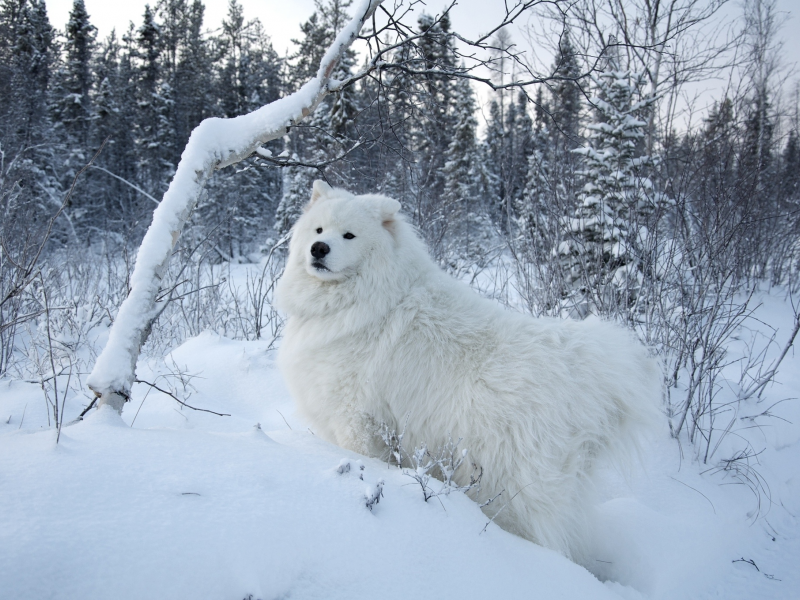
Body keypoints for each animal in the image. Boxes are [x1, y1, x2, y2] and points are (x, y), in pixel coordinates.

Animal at [276, 180, 664, 560]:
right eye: (319, 229)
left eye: (349, 235)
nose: (318, 249)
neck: (365, 298)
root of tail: (582, 365)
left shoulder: (356, 420)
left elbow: (361, 460)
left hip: (508, 483)